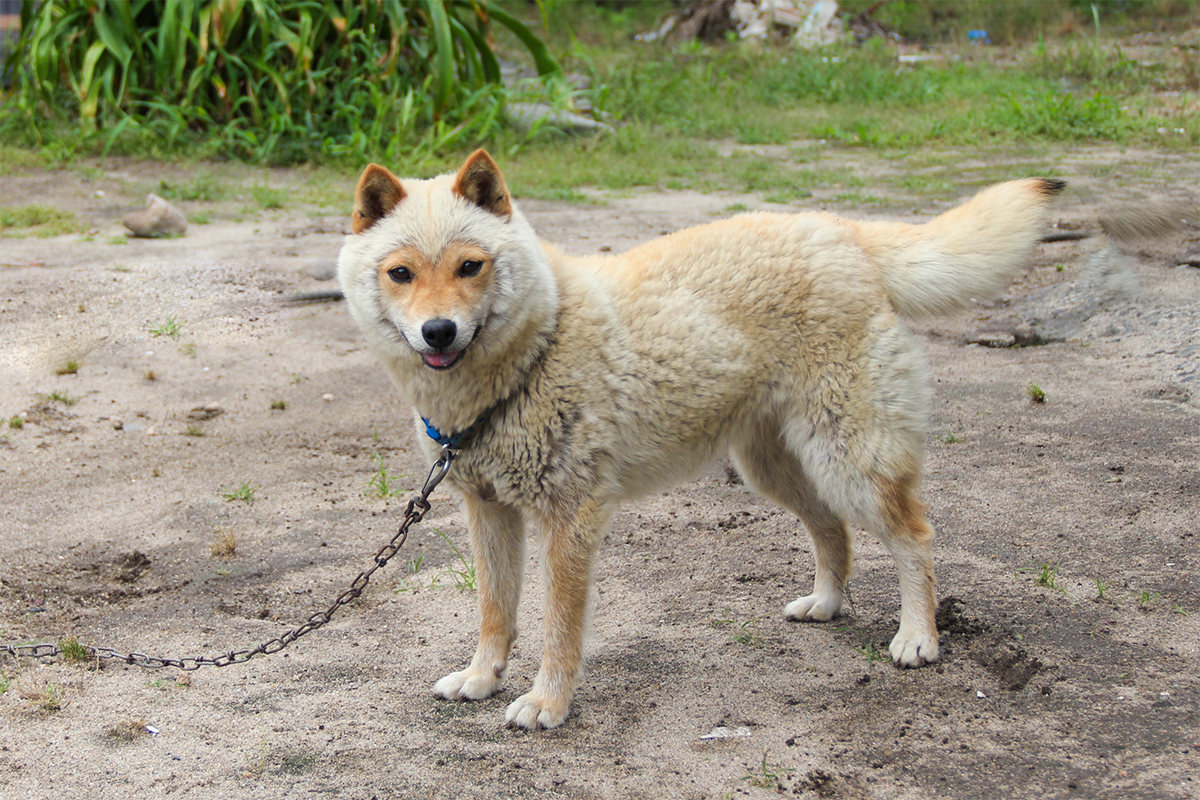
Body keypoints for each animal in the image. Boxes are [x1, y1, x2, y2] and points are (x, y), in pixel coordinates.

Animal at [336, 146, 1060, 729]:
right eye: (401, 274)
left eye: (470, 266)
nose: (438, 332)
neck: (534, 351)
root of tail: (841, 233)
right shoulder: (488, 513)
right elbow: (495, 613)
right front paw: (481, 678)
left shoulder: (570, 523)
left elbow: (558, 633)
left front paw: (547, 704)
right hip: (778, 468)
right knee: (832, 531)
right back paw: (827, 604)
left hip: (849, 461)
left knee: (914, 537)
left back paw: (918, 636)